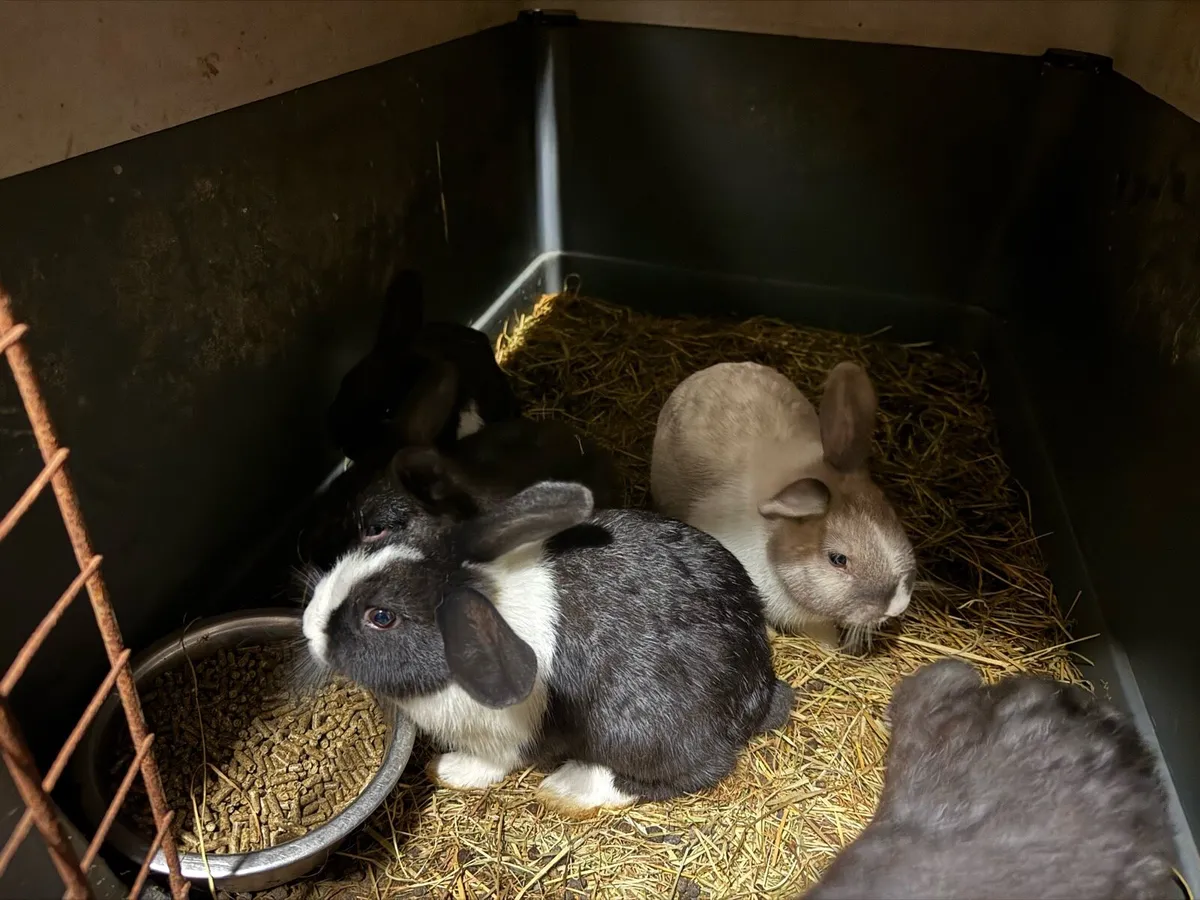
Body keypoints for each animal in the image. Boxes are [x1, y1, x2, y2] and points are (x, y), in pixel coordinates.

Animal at [301, 479, 795, 815]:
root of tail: (759, 690)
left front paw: (445, 770)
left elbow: (487, 766)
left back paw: (566, 788)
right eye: (377, 535)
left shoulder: (498, 741)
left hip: (636, 734)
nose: (309, 625)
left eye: (382, 617)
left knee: (683, 773)